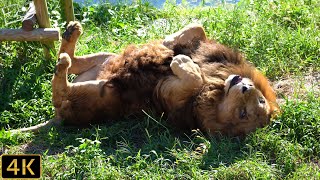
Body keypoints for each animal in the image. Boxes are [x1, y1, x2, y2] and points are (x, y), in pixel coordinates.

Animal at [11, 21, 278, 136]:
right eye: (260, 100)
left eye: (244, 114)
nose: (246, 86)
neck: (216, 86)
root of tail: (58, 118)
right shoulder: (206, 49)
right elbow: (197, 28)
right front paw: (171, 45)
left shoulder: (170, 96)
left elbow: (192, 78)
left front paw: (182, 63)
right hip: (105, 58)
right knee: (76, 60)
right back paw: (71, 32)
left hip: (101, 92)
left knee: (61, 91)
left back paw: (62, 64)